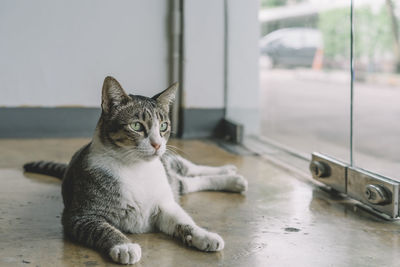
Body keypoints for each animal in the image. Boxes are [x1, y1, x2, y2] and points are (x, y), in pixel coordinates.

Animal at [23, 77, 247, 266]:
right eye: (137, 126)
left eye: (163, 126)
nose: (157, 144)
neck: (136, 168)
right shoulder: (80, 215)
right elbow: (102, 229)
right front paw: (124, 246)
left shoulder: (165, 205)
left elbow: (184, 221)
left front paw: (204, 235)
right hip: (174, 182)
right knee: (189, 183)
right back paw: (234, 179)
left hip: (170, 164)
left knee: (190, 169)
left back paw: (230, 172)